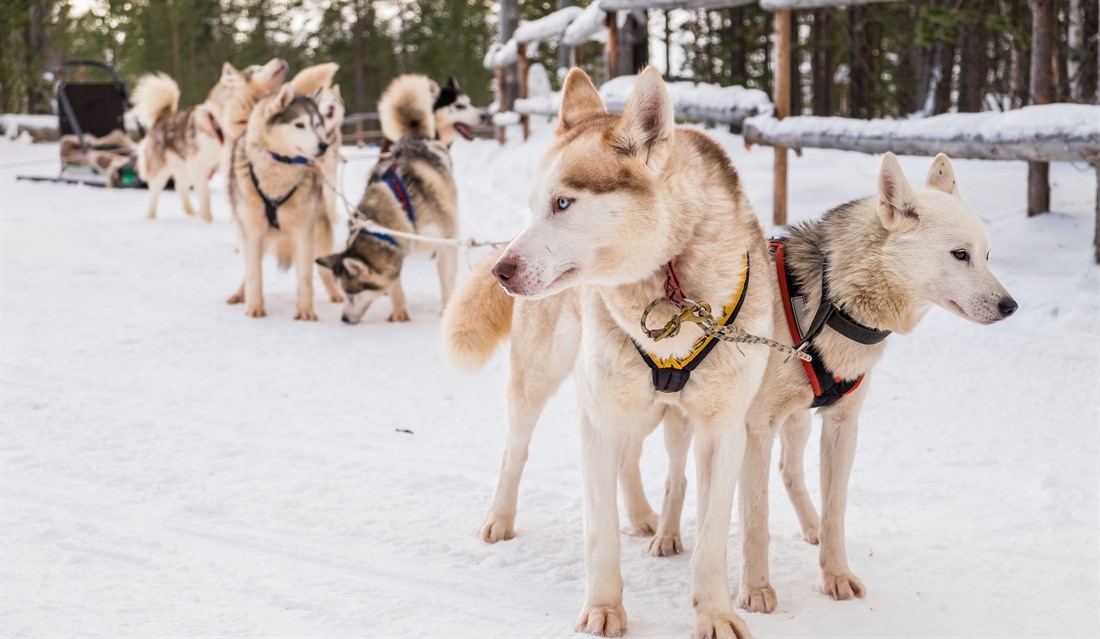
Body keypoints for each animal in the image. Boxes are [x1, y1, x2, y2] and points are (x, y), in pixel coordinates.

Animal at [132, 73, 226, 218]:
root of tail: (163, 117)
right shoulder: (199, 166)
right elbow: (205, 195)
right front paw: (207, 218)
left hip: (185, 169)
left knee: (180, 187)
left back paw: (191, 211)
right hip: (162, 171)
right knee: (155, 192)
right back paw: (151, 216)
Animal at [224, 85, 341, 318]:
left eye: (317, 126)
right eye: (299, 124)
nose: (323, 145)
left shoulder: (303, 233)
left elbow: (305, 278)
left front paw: (306, 312)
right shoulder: (252, 233)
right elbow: (254, 275)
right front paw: (254, 308)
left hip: (319, 236)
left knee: (323, 269)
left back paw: (335, 294)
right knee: (249, 270)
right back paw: (240, 294)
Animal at [316, 75, 457, 323]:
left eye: (352, 293)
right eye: (343, 293)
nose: (344, 319)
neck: (402, 208)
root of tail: (414, 136)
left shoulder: (447, 243)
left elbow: (447, 280)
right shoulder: (397, 249)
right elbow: (395, 284)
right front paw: (398, 311)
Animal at [442, 65, 770, 637]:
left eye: (563, 203)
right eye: (534, 205)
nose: (500, 271)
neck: (669, 283)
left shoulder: (720, 430)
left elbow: (711, 539)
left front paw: (715, 612)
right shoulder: (595, 420)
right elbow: (599, 533)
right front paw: (603, 608)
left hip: (649, 413)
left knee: (630, 458)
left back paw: (641, 515)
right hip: (540, 385)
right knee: (515, 451)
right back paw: (500, 519)